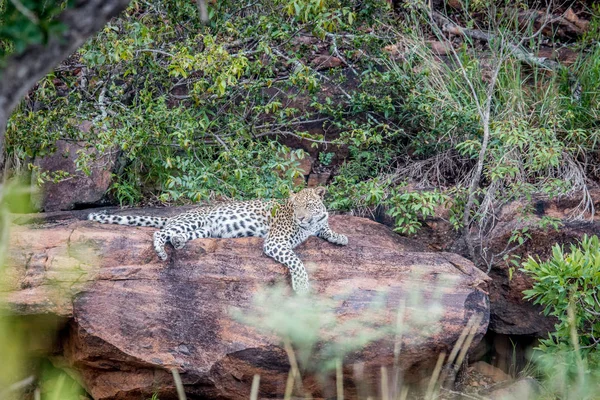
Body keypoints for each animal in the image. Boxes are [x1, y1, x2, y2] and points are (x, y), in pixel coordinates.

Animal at [85, 186, 346, 292]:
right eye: (295, 207)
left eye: (308, 205)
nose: (301, 217)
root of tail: (176, 214)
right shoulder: (276, 242)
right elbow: (297, 262)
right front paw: (301, 286)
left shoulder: (317, 223)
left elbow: (326, 227)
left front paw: (340, 237)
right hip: (192, 222)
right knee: (159, 232)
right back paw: (162, 251)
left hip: (202, 231)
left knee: (175, 234)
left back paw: (178, 243)